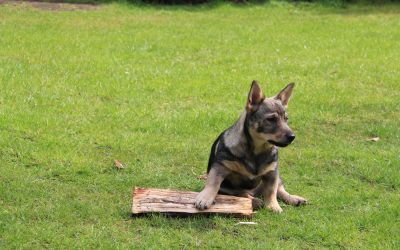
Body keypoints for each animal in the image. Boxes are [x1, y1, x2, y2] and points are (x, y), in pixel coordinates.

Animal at [195, 80, 308, 213]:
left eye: (286, 119)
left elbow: (271, 191)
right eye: (271, 119)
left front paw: (273, 206)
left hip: (277, 177)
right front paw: (204, 198)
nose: (292, 136)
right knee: (243, 193)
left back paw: (294, 198)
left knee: (279, 189)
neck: (257, 149)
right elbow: (213, 184)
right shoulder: (220, 168)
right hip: (228, 188)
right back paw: (256, 201)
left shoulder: (272, 172)